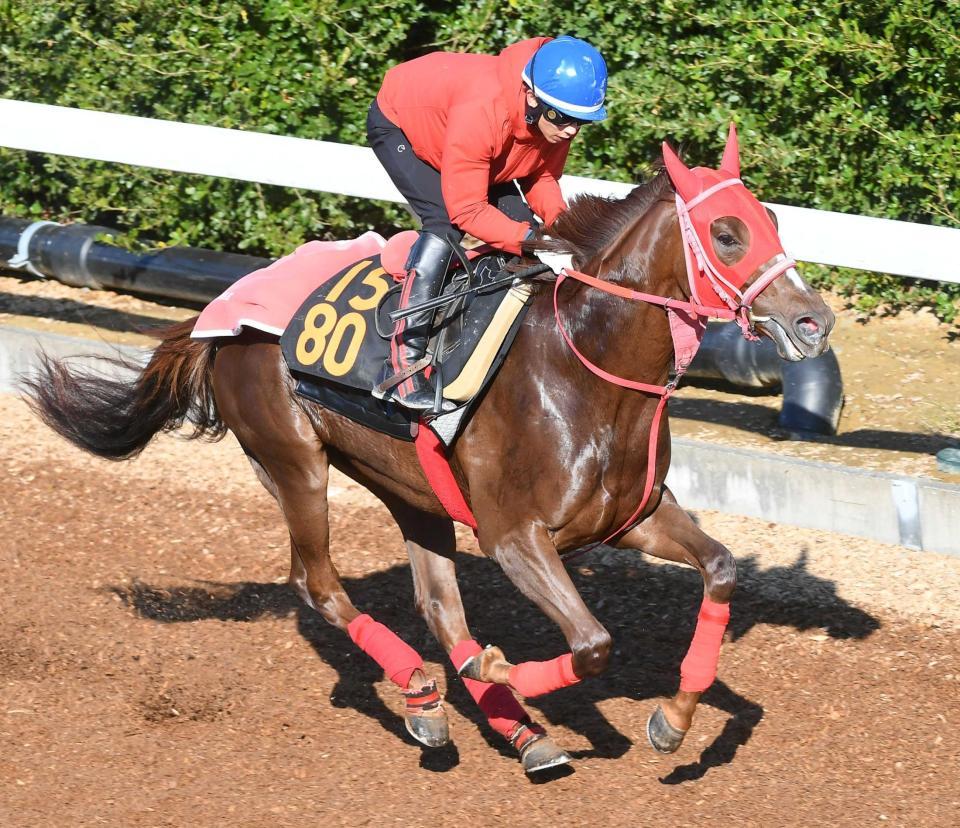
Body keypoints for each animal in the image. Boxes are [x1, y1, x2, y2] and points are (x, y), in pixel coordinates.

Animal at [24, 133, 832, 772]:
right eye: (726, 232)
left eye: (772, 219)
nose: (813, 321)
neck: (585, 371)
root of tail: (218, 313)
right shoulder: (515, 536)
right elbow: (595, 643)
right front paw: (503, 667)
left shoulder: (632, 518)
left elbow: (721, 570)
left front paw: (673, 719)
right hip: (293, 461)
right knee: (319, 584)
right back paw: (423, 691)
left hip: (411, 490)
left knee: (439, 606)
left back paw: (512, 730)